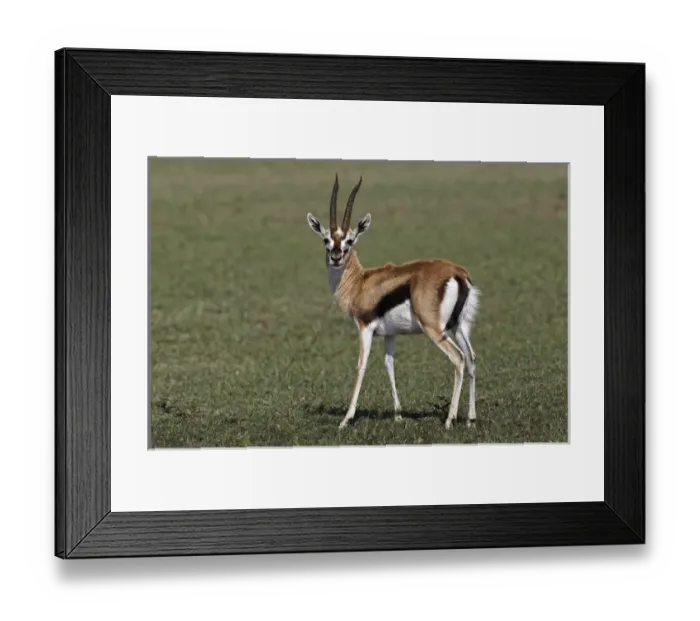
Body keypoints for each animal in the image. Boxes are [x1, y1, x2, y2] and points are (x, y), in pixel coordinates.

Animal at [306, 174, 480, 430]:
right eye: (326, 240)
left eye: (350, 240)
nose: (336, 257)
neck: (360, 282)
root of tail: (457, 273)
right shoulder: (390, 334)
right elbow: (389, 365)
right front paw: (398, 415)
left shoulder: (365, 328)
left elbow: (361, 366)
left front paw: (346, 419)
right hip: (460, 327)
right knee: (471, 358)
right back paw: (470, 419)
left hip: (435, 329)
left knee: (458, 359)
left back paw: (450, 420)